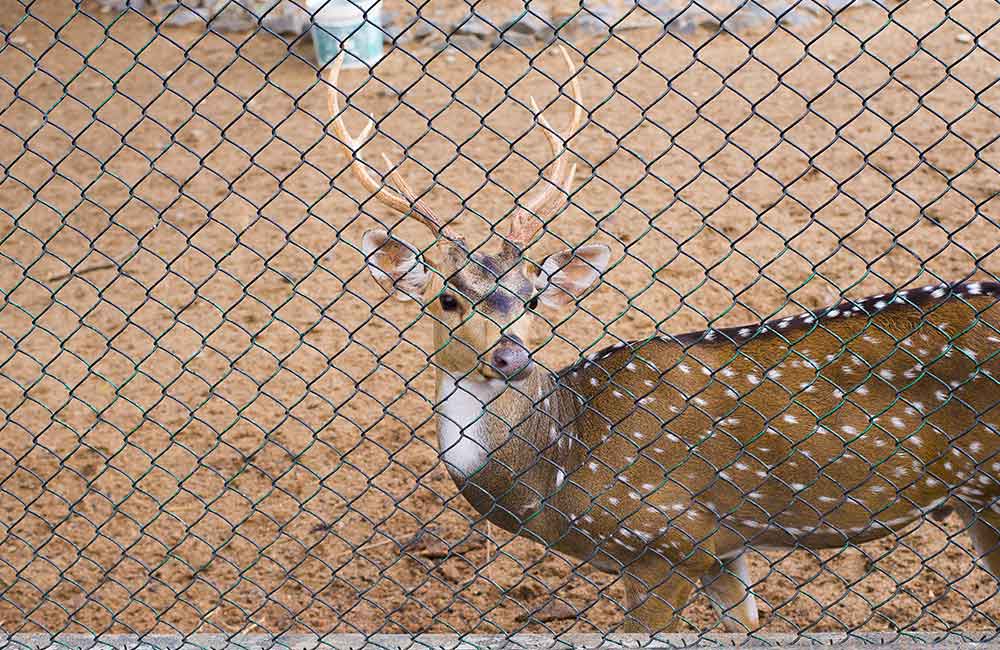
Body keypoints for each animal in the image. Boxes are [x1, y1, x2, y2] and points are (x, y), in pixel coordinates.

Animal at [332, 52, 1000, 632]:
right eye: (448, 297)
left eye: (532, 297)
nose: (511, 357)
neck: (558, 465)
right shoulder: (723, 548)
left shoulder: (665, 538)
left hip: (987, 486)